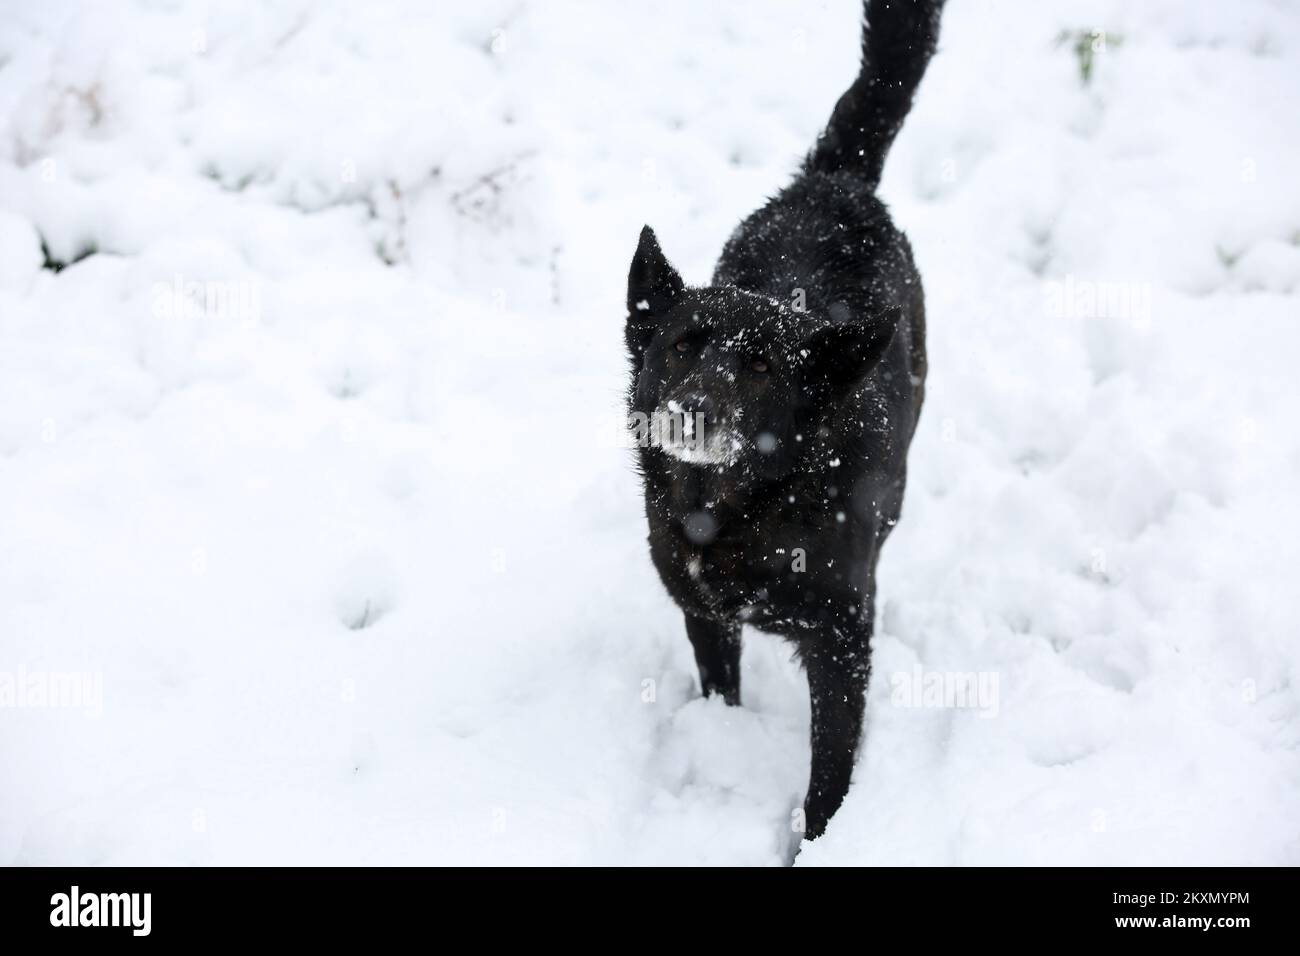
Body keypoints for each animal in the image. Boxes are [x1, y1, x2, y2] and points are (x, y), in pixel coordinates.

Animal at [624, 0, 941, 842]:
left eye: (764, 366)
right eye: (682, 345)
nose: (692, 412)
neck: (744, 508)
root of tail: (835, 180)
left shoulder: (842, 643)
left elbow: (830, 771)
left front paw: (820, 841)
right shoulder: (704, 614)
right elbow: (721, 691)